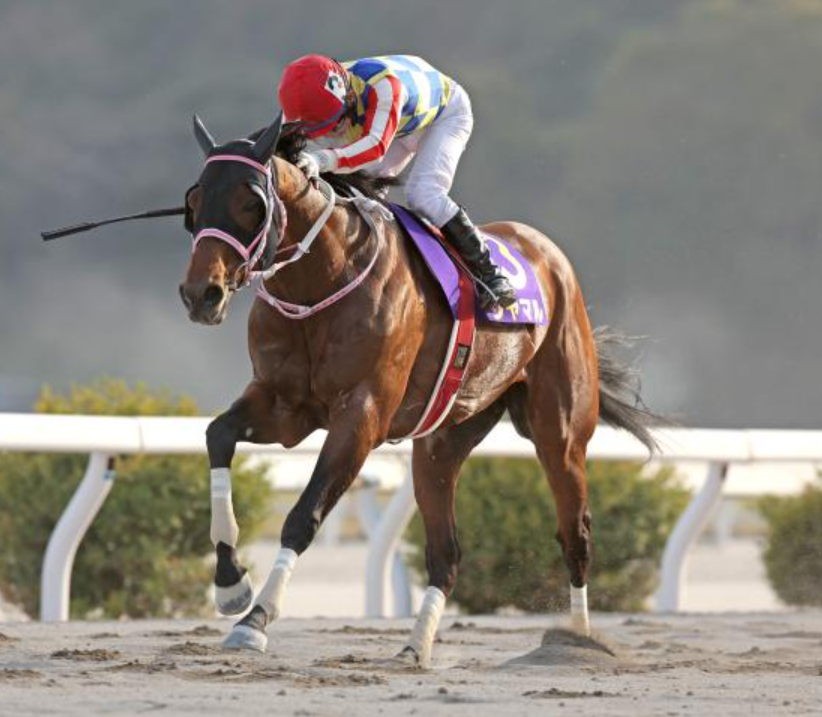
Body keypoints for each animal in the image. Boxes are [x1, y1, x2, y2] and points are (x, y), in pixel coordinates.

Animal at [179, 112, 657, 667]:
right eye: (193, 203)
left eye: (252, 203)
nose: (200, 294)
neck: (321, 280)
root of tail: (548, 255)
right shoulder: (284, 406)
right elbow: (217, 435)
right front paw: (230, 584)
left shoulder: (361, 416)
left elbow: (304, 516)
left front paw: (256, 619)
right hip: (441, 442)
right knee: (446, 552)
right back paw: (415, 645)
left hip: (560, 433)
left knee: (574, 533)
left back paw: (576, 640)